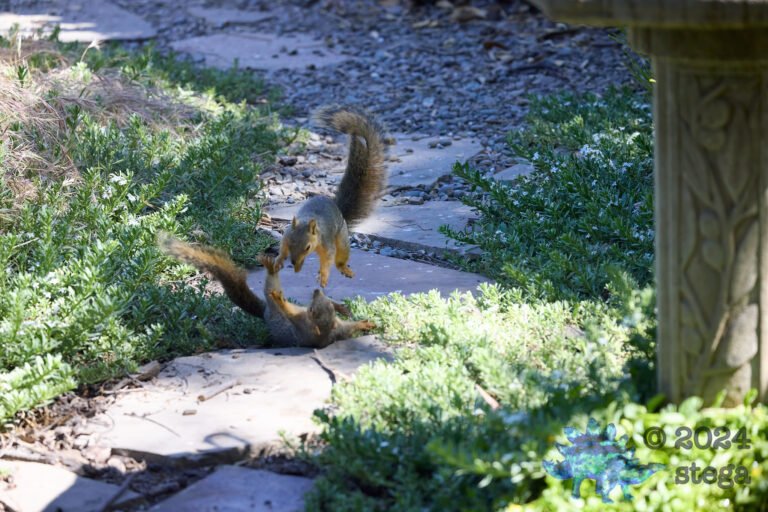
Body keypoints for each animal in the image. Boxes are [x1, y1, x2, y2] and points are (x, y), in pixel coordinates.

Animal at [158, 233, 376, 348]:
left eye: (313, 310)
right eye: (323, 305)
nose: (316, 292)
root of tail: (265, 312)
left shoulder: (304, 324)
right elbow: (349, 325)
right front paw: (362, 322)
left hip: (273, 298)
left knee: (271, 287)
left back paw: (272, 276)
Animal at [275, 105, 389, 287]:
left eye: (307, 247)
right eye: (291, 242)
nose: (293, 262)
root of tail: (337, 208)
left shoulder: (326, 243)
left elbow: (328, 259)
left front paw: (323, 277)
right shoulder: (286, 235)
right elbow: (282, 248)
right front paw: (279, 260)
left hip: (341, 237)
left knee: (340, 257)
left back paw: (344, 269)